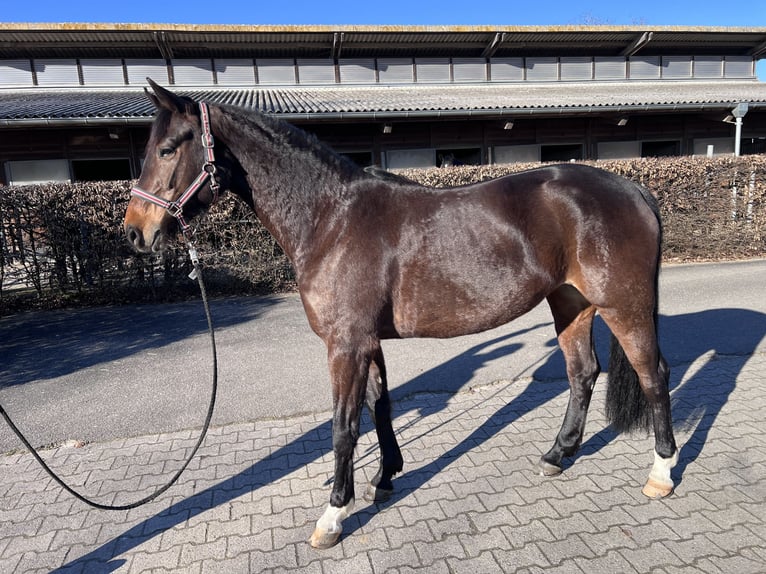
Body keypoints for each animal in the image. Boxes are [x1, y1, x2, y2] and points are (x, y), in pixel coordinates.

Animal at [124, 80, 678, 549]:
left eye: (168, 149)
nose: (134, 232)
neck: (331, 218)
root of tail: (633, 189)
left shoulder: (345, 344)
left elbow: (344, 425)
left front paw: (333, 514)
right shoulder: (367, 341)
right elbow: (380, 406)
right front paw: (385, 477)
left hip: (624, 306)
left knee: (653, 375)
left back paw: (661, 473)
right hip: (570, 303)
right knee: (582, 373)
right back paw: (558, 455)